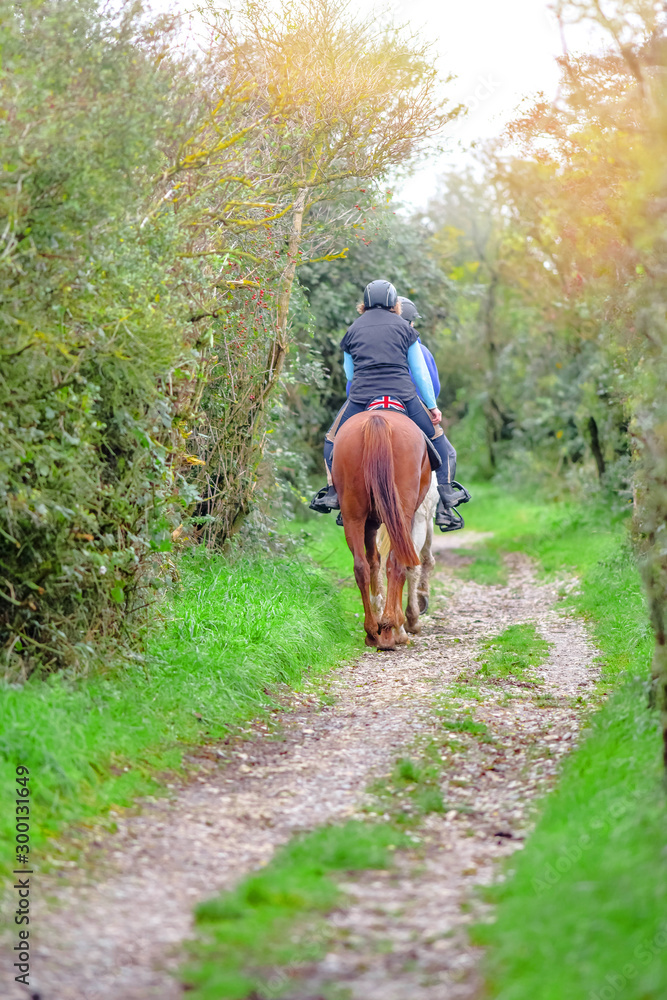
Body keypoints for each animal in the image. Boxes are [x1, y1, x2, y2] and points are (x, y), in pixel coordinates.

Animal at [334, 410, 434, 652]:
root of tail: (377, 419)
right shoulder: (420, 519)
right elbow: (418, 563)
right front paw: (406, 623)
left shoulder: (371, 523)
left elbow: (374, 563)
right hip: (405, 512)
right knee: (397, 563)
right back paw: (389, 631)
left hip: (353, 515)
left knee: (361, 567)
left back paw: (372, 631)